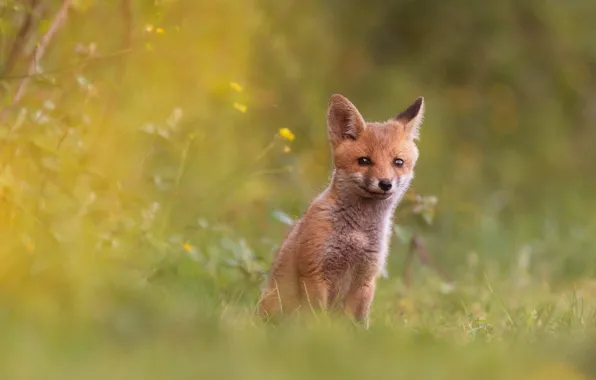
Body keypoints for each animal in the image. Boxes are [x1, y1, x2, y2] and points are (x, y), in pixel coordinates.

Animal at [256, 93, 424, 326]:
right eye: (364, 161)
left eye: (398, 162)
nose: (385, 184)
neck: (357, 234)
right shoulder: (315, 272)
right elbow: (317, 318)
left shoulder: (366, 279)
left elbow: (354, 322)